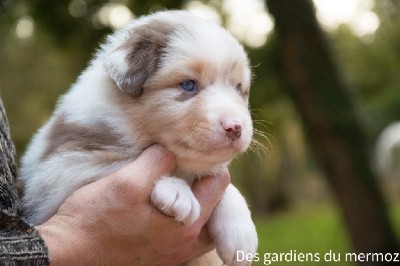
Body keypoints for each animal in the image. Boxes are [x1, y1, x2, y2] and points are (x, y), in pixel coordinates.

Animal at [19, 9, 256, 264]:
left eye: (238, 88)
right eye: (188, 84)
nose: (235, 127)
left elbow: (224, 185)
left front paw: (241, 231)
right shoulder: (61, 172)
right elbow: (122, 164)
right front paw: (176, 191)